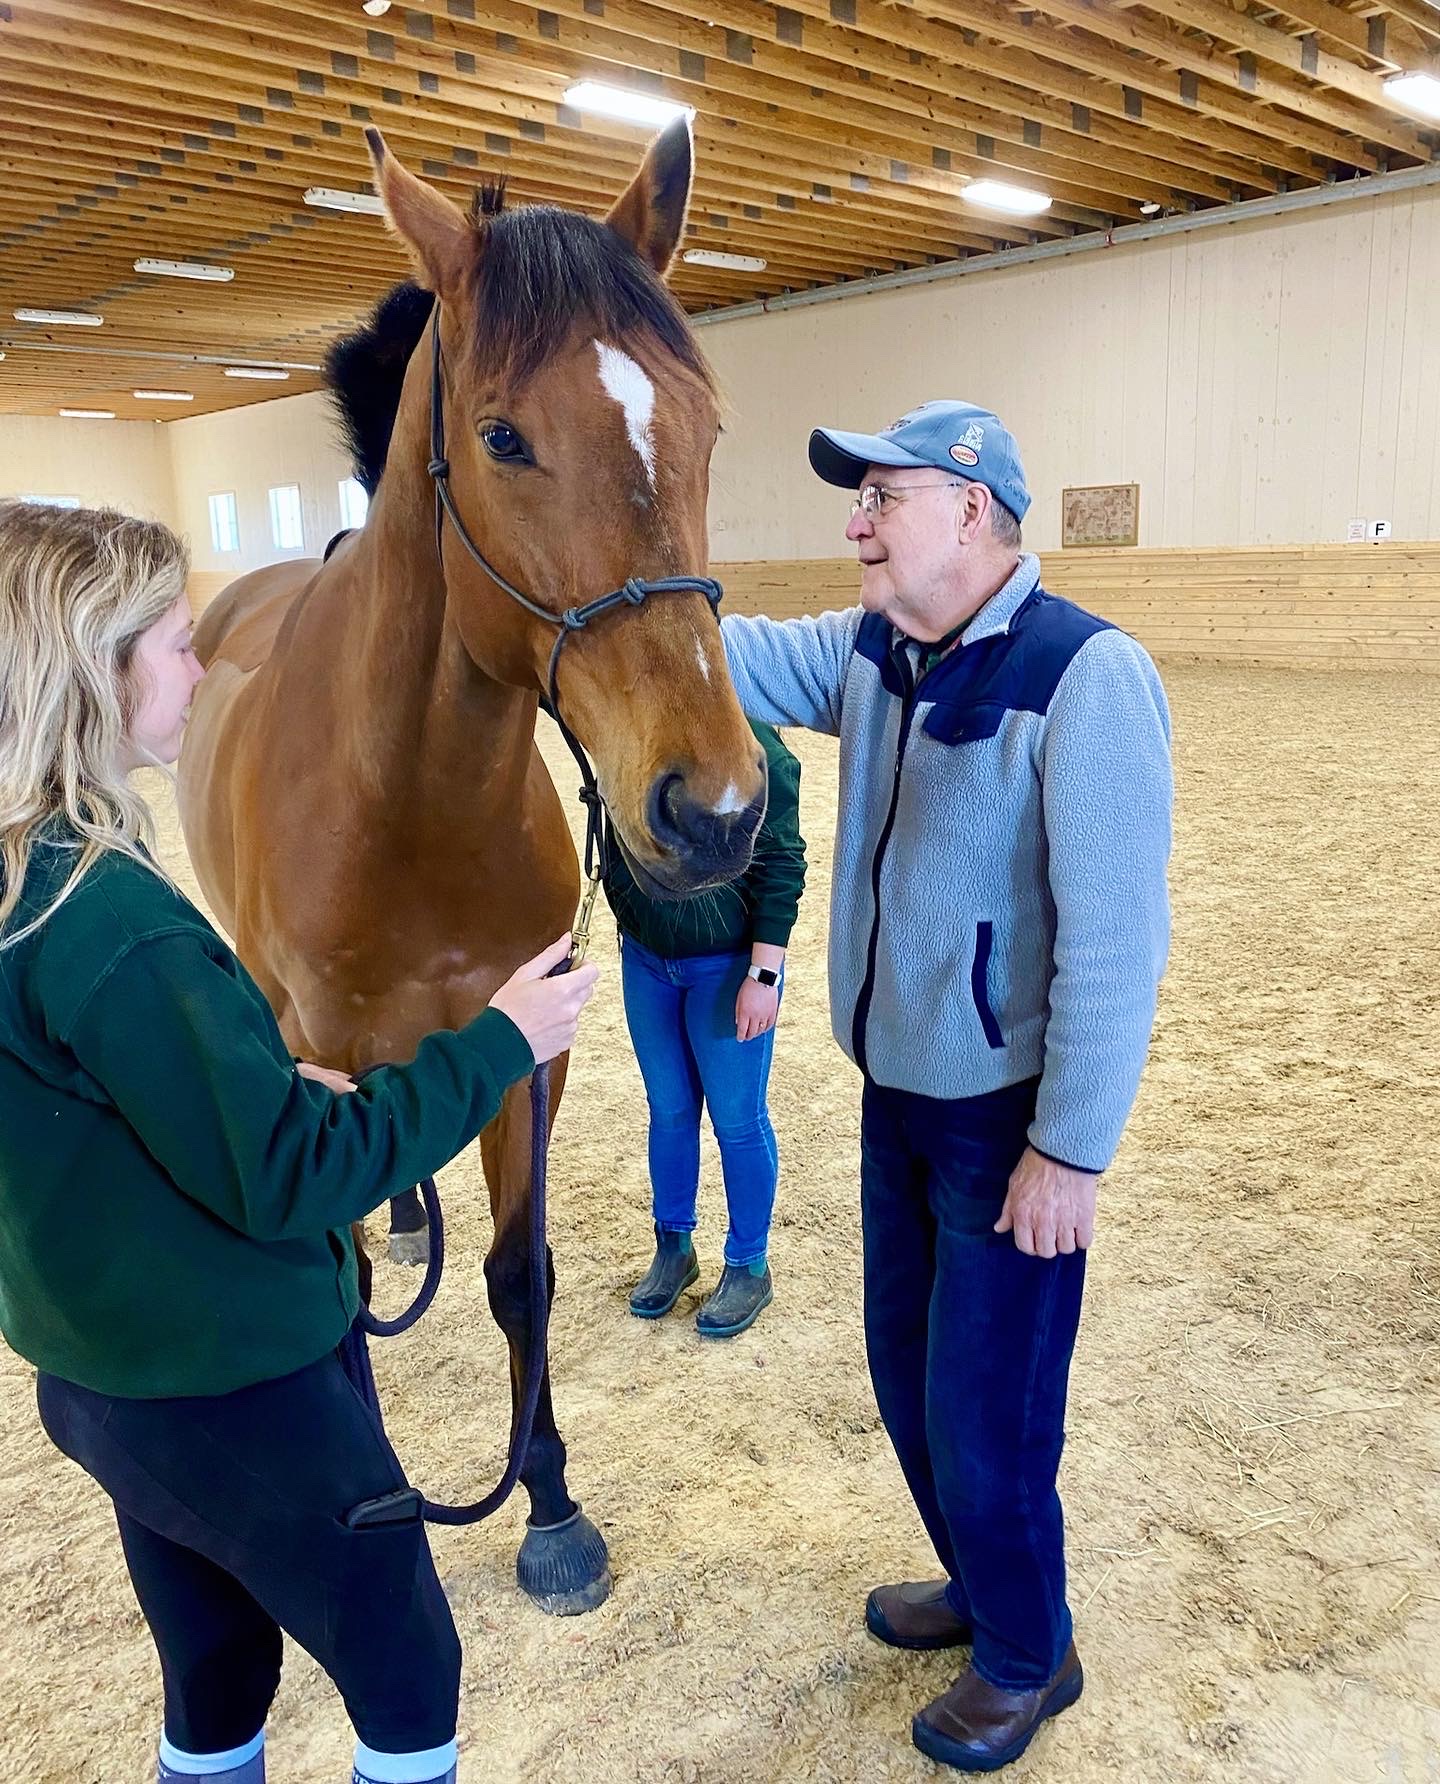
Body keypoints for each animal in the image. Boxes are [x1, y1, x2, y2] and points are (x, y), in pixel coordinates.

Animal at [176, 120, 767, 1616]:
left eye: (708, 426)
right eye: (503, 437)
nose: (716, 811)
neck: (406, 807)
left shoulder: (527, 1051)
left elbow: (518, 1276)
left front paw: (549, 1506)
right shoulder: (308, 1057)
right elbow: (327, 1279)